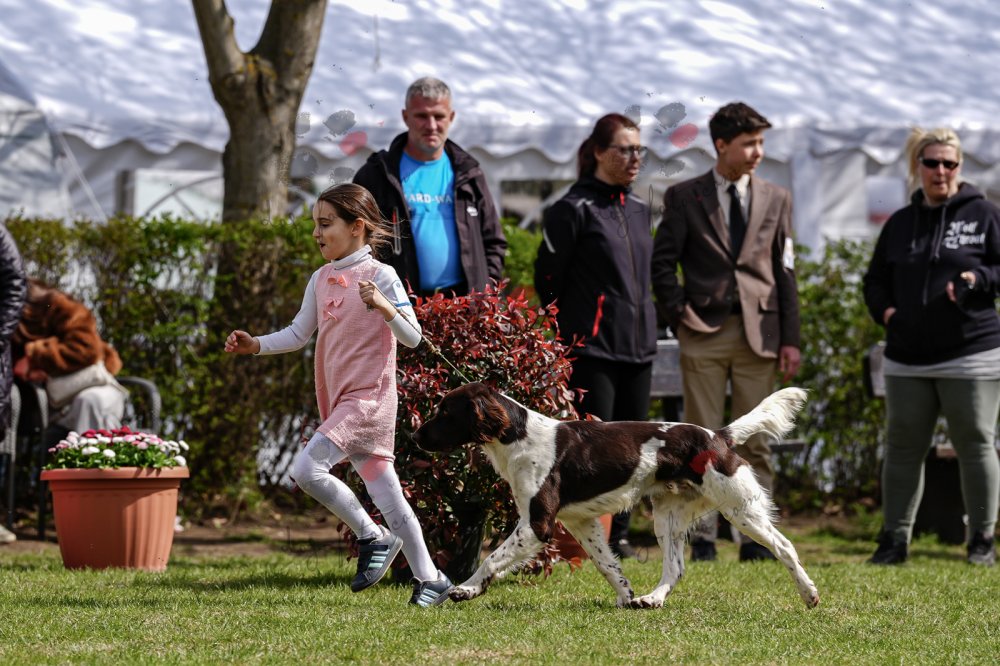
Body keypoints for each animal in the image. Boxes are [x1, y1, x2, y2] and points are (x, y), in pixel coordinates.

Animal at [412, 382, 820, 609]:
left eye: (445, 412)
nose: (415, 436)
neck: (518, 437)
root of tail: (718, 436)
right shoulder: (580, 521)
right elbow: (608, 565)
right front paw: (625, 598)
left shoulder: (537, 523)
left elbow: (492, 559)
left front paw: (466, 589)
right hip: (667, 516)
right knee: (675, 566)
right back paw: (652, 600)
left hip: (739, 508)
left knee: (785, 547)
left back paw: (809, 594)